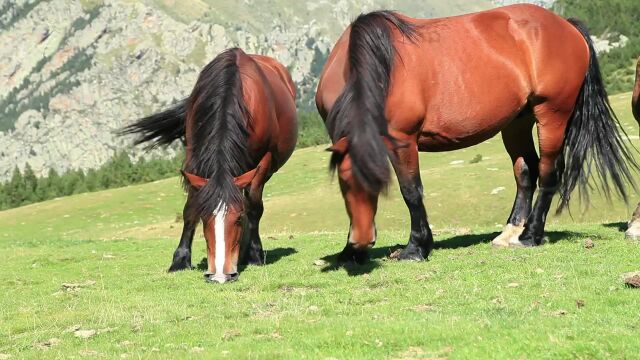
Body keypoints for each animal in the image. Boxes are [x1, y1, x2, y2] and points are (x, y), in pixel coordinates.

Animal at [120, 48, 298, 284]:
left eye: (237, 218)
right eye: (204, 217)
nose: (221, 275)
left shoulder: (264, 161)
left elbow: (253, 207)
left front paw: (254, 255)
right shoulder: (194, 157)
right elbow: (189, 208)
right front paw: (180, 260)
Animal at [316, 4, 636, 264]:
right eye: (344, 186)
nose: (361, 243)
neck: (379, 66)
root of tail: (566, 26)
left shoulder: (403, 141)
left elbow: (411, 191)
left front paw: (416, 248)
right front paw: (347, 251)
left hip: (552, 115)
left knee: (548, 172)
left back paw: (530, 235)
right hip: (517, 122)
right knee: (526, 171)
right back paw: (510, 231)